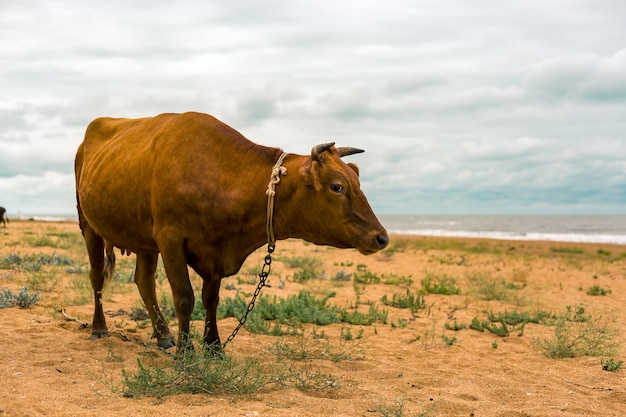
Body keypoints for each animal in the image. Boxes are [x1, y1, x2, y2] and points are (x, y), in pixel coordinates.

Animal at [75, 112, 388, 352]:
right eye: (337, 186)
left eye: (357, 181)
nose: (381, 237)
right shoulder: (170, 240)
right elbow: (184, 298)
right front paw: (186, 353)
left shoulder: (214, 251)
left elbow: (210, 300)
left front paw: (214, 348)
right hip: (89, 226)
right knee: (97, 276)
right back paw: (99, 327)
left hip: (144, 240)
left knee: (144, 281)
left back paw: (163, 336)